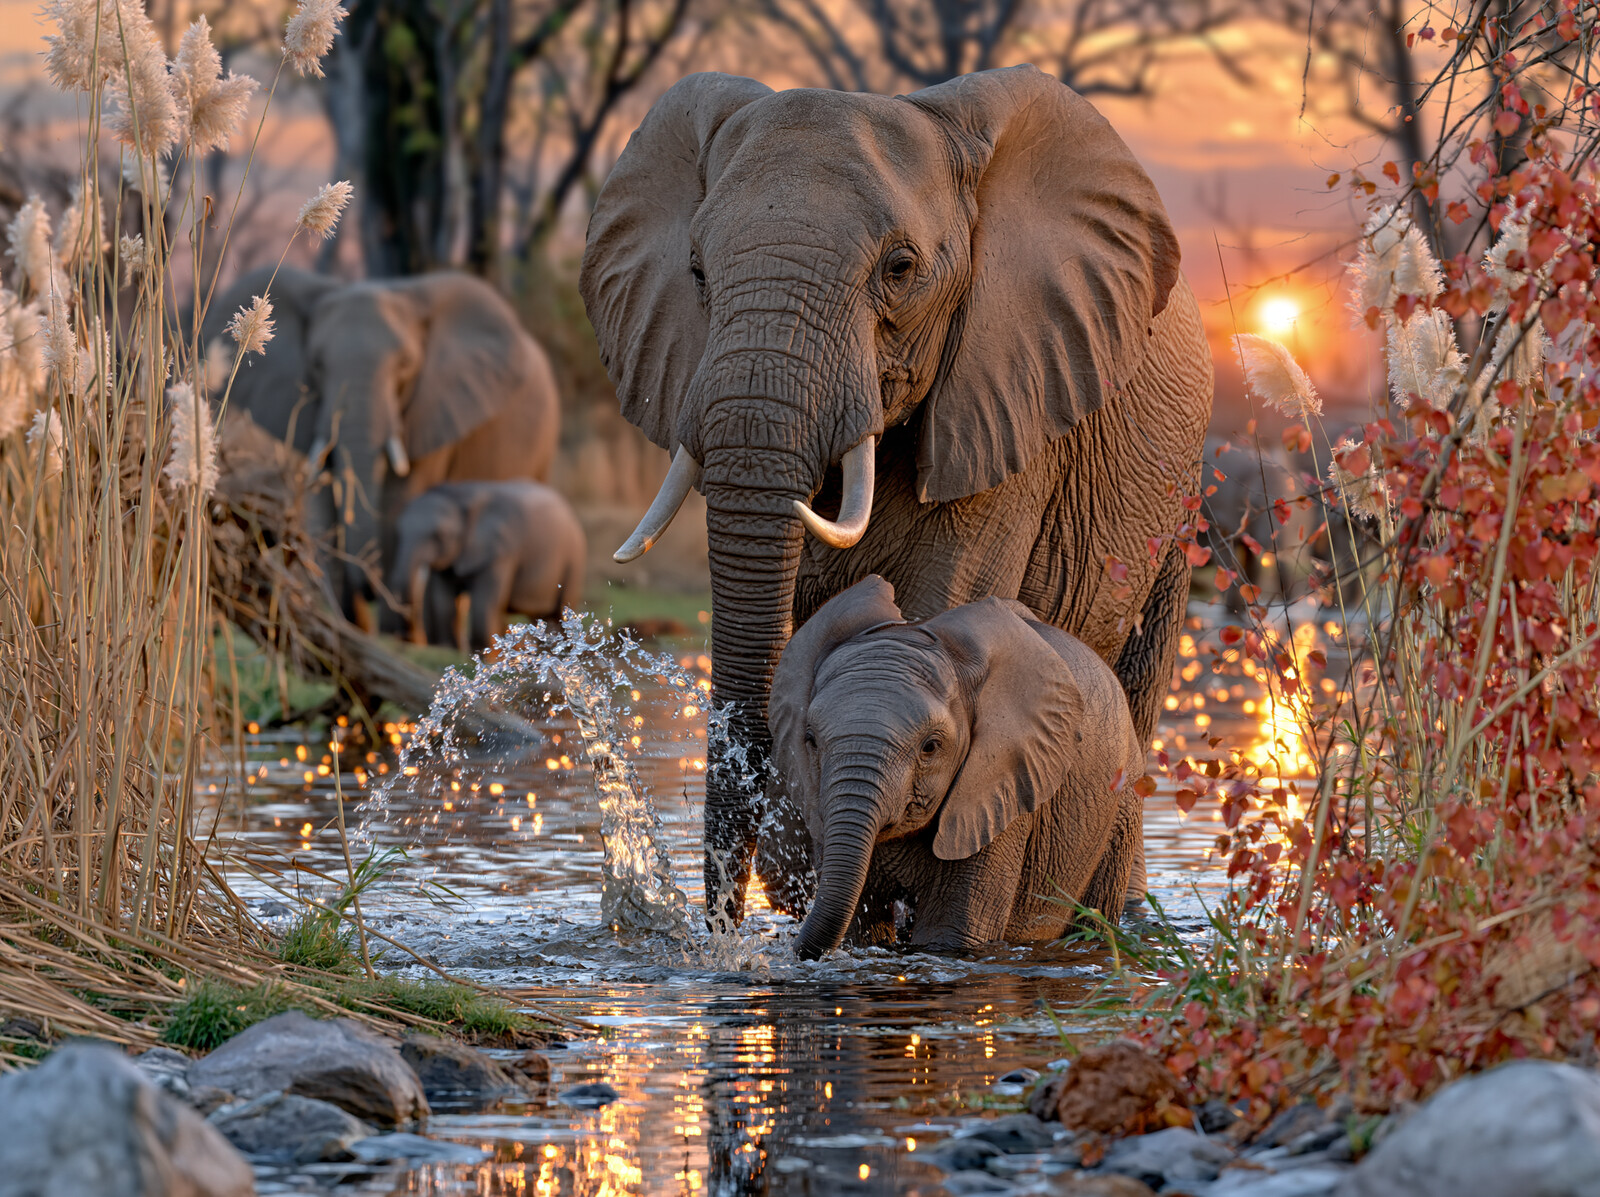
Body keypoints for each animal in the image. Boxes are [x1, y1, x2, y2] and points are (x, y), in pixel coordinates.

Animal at [200, 266, 560, 625]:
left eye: (405, 365)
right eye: (317, 364)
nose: (368, 591)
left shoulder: (433, 407)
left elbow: (400, 498)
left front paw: (393, 627)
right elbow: (322, 503)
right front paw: (352, 625)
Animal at [387, 480, 587, 651]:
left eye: (440, 535)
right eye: (398, 532)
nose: (410, 641)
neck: (460, 495)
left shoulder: (501, 551)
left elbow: (482, 605)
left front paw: (483, 657)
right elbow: (444, 603)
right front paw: (450, 650)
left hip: (574, 558)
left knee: (560, 614)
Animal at [772, 577, 1145, 958]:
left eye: (930, 747)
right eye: (810, 740)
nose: (795, 951)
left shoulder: (1002, 789)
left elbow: (950, 932)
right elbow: (860, 928)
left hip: (1121, 810)